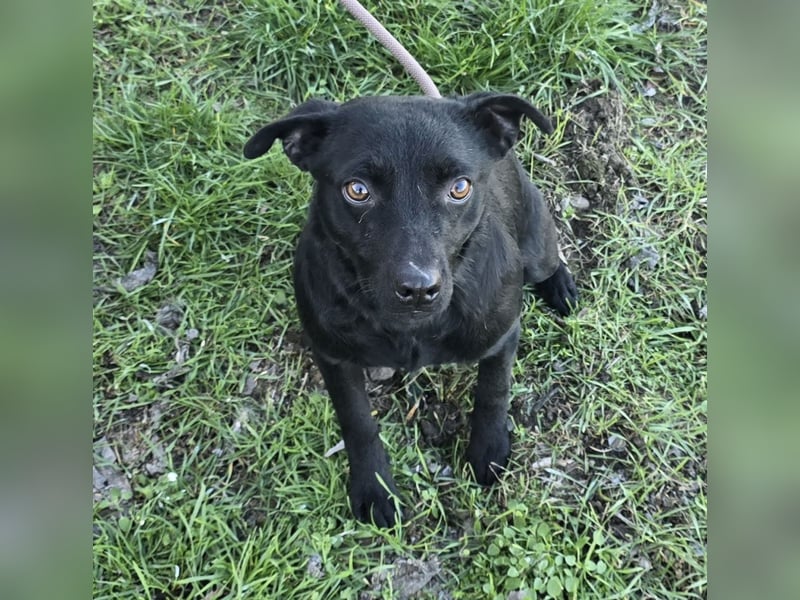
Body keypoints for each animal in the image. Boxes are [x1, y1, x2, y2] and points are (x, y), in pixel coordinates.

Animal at [243, 93, 577, 527]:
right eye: (357, 190)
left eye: (459, 187)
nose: (418, 289)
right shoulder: (333, 356)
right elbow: (358, 422)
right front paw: (374, 487)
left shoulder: (501, 336)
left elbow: (494, 392)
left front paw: (488, 450)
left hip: (536, 246)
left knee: (548, 262)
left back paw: (561, 286)